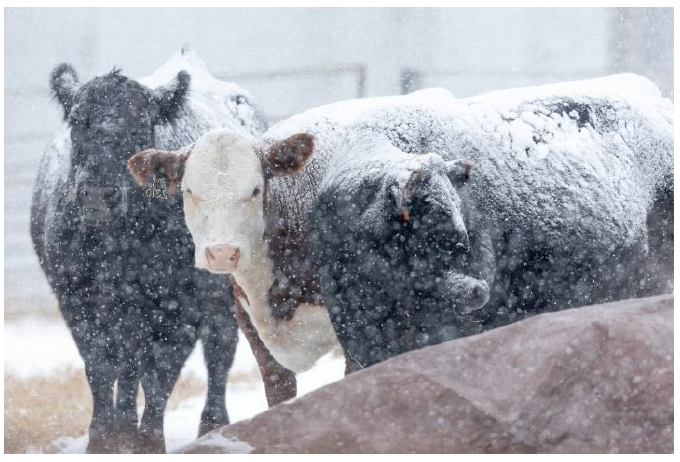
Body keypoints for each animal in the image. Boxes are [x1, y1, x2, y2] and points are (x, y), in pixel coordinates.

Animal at [30, 49, 267, 453]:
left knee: (219, 351)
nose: (98, 194)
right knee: (129, 363)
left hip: (225, 293)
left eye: (140, 126)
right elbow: (101, 365)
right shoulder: (77, 300)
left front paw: (149, 440)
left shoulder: (183, 305)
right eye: (77, 122)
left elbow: (161, 371)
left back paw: (212, 424)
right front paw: (103, 437)